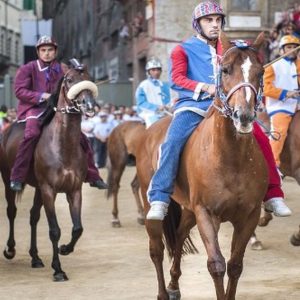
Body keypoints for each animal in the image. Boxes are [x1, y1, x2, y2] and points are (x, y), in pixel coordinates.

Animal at [1, 65, 99, 282]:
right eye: (69, 80)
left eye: (89, 78)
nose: (89, 104)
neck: (63, 145)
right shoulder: (49, 190)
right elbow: (54, 230)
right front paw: (58, 270)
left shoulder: (74, 190)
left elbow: (78, 228)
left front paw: (64, 249)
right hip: (8, 180)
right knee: (12, 211)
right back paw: (10, 250)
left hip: (38, 188)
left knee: (33, 216)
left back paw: (35, 257)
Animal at [135, 31, 268, 298]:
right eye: (225, 70)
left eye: (260, 72)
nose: (244, 116)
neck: (231, 159)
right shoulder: (206, 213)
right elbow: (216, 264)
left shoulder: (249, 215)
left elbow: (235, 265)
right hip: (151, 203)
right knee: (156, 250)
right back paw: (163, 292)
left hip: (188, 209)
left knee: (178, 236)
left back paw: (174, 286)